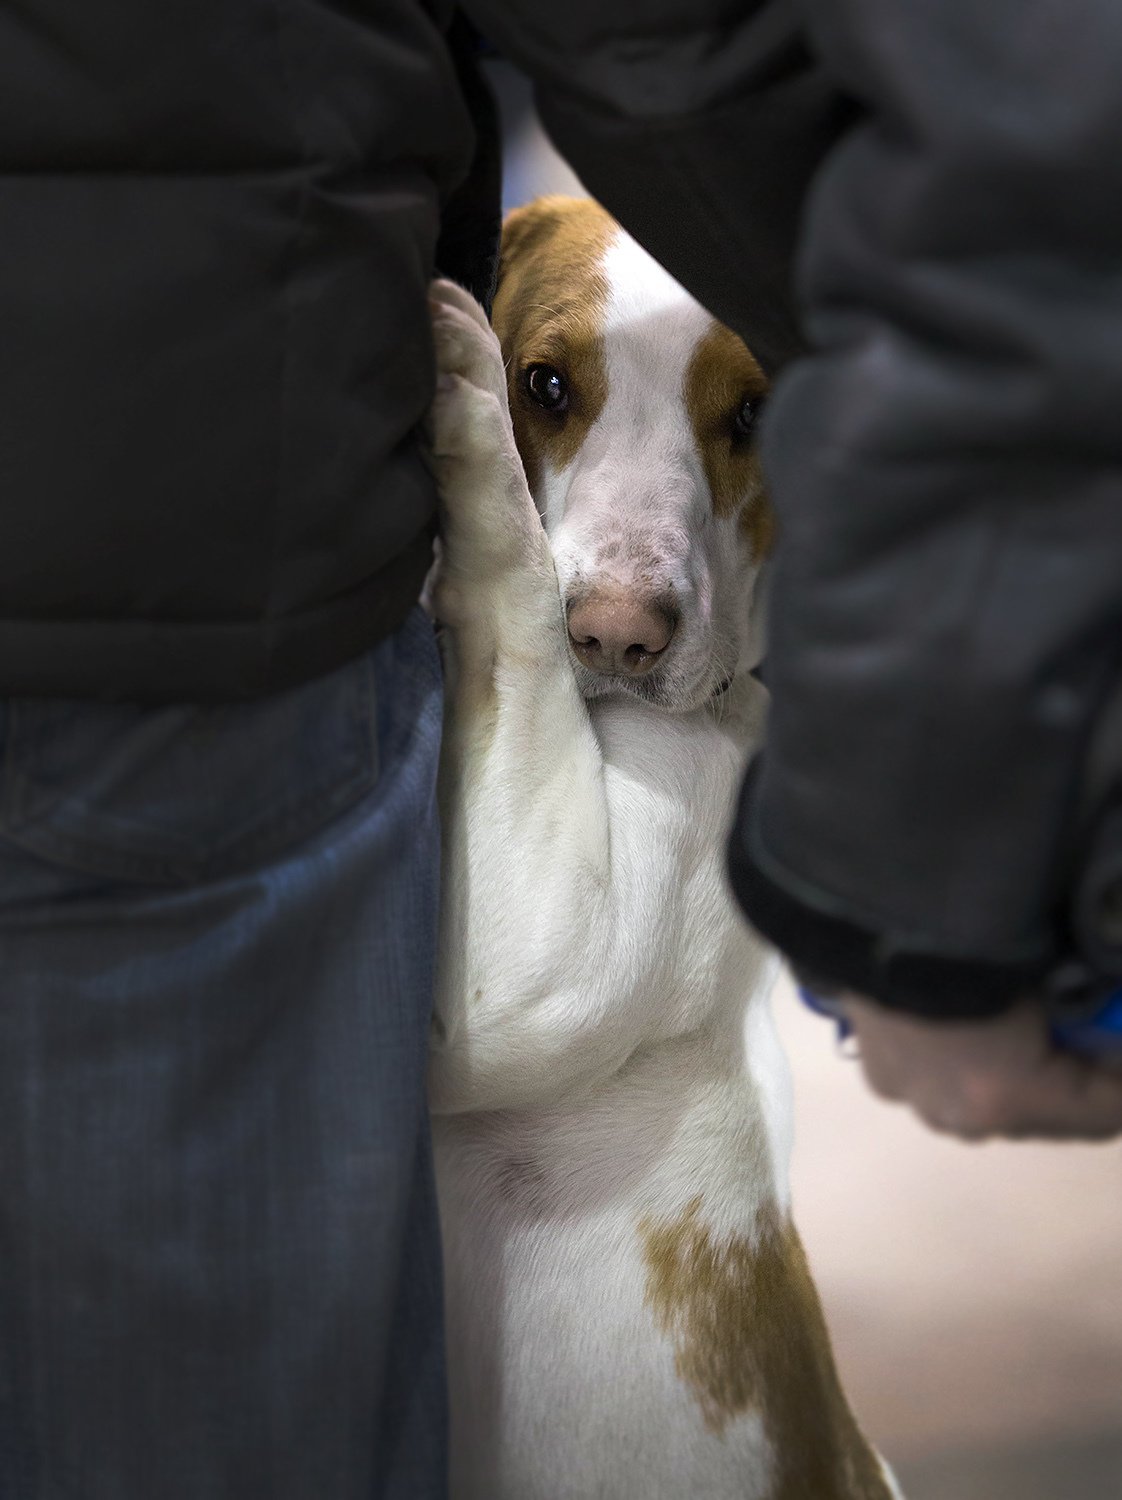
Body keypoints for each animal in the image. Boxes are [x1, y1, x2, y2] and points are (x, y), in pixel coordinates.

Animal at [426, 199, 900, 1500]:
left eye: (755, 413)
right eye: (548, 382)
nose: (618, 638)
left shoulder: (523, 970)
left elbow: (518, 593)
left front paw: (461, 410)